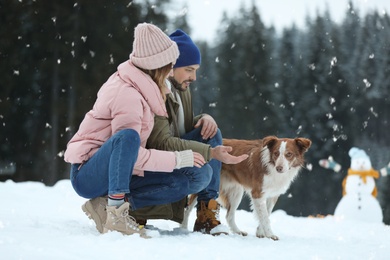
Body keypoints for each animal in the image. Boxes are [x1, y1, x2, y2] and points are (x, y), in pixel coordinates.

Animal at [181, 136, 312, 240]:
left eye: (289, 154)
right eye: (276, 153)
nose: (279, 168)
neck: (272, 166)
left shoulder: (273, 195)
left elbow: (266, 212)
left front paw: (260, 232)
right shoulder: (257, 193)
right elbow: (265, 216)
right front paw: (270, 235)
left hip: (236, 191)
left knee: (229, 215)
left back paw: (237, 231)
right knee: (187, 209)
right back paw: (183, 228)